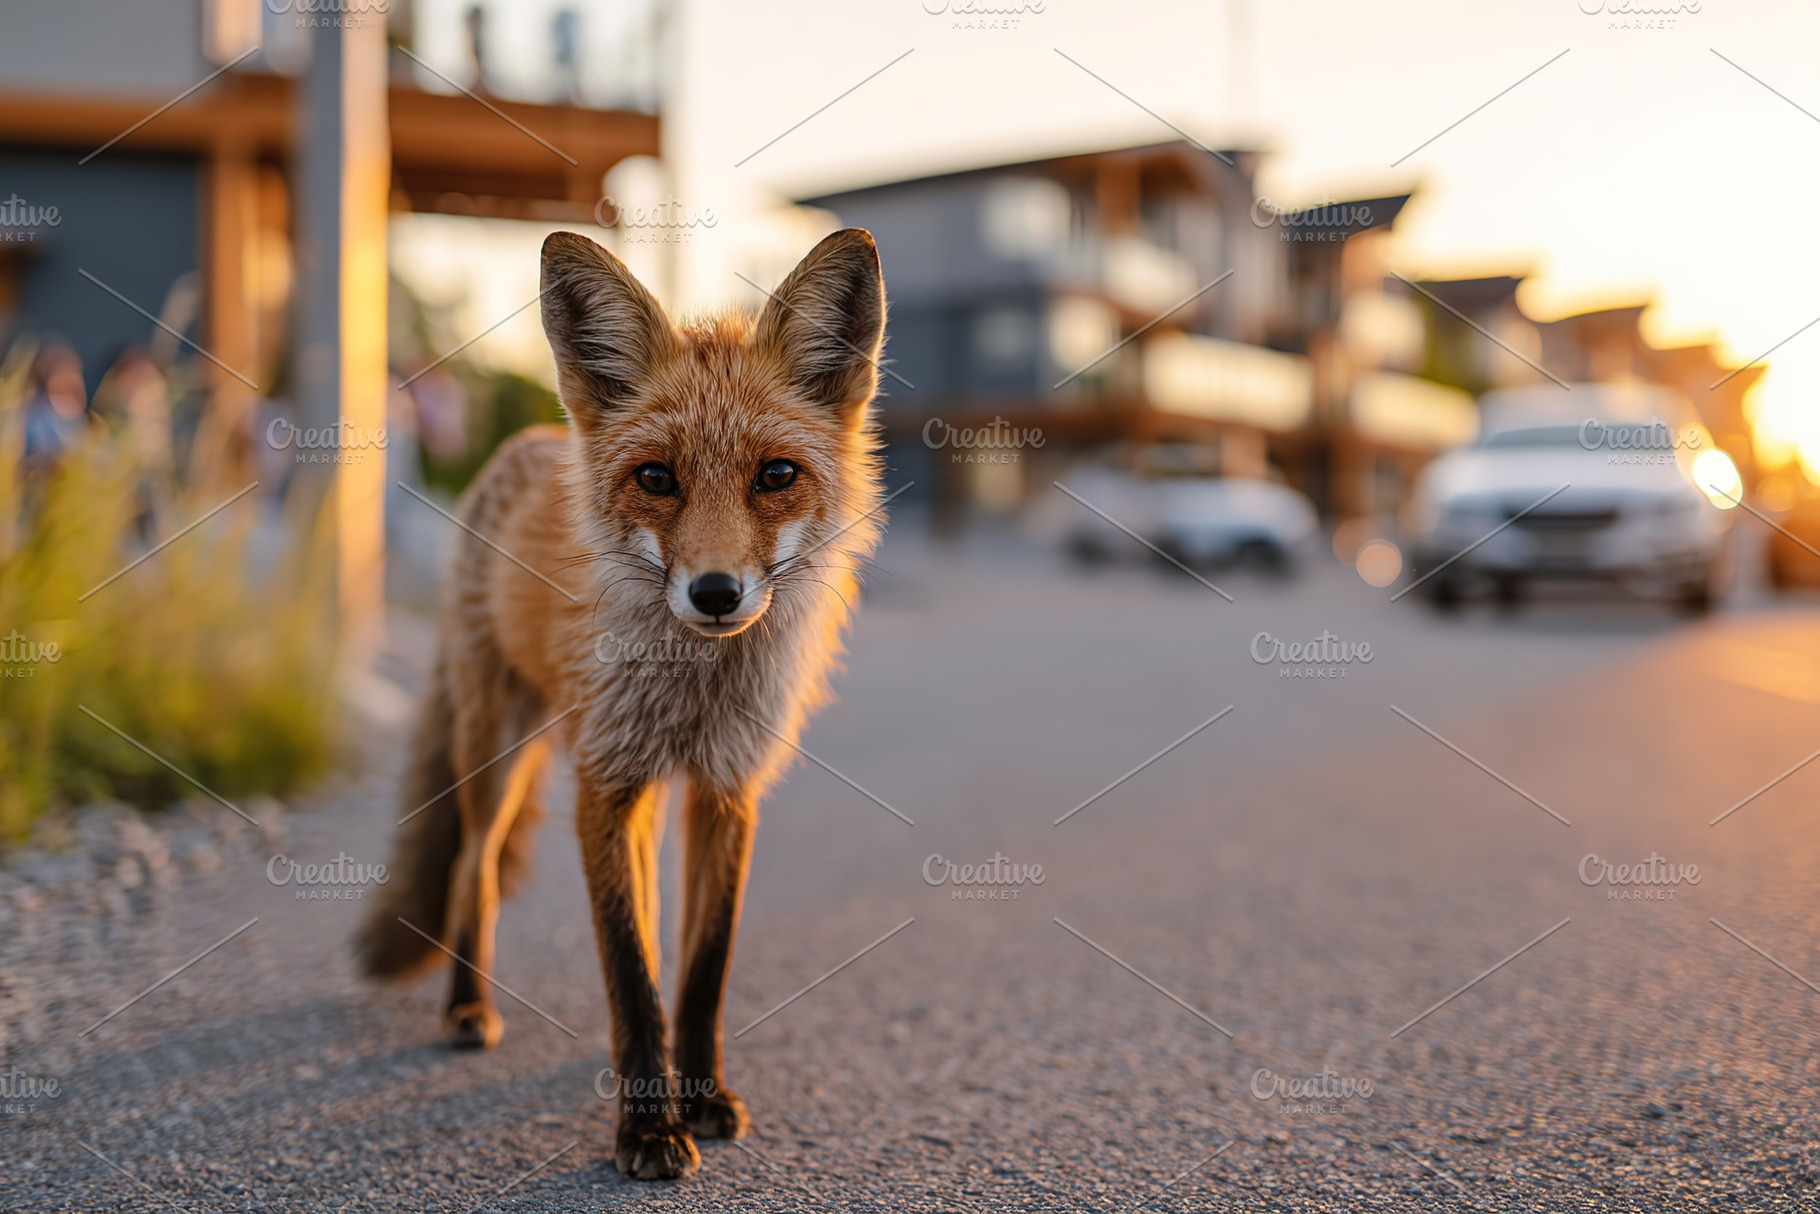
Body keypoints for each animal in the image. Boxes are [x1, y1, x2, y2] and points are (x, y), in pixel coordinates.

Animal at [354, 228, 888, 1180]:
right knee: (472, 869)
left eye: (776, 474)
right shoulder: (604, 782)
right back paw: (466, 1009)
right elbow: (629, 969)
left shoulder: (726, 788)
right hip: (498, 754)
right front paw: (646, 1127)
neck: (692, 692)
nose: (715, 592)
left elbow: (700, 965)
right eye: (656, 478)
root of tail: (526, 440)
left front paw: (700, 1091)